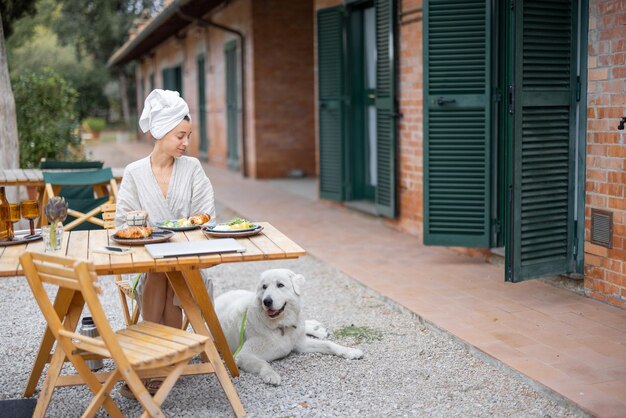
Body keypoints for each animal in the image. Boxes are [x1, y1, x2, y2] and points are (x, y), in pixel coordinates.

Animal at [214, 270, 360, 384]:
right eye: (264, 287)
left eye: (280, 285)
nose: (266, 301)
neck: (281, 326)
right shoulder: (243, 355)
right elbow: (263, 363)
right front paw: (271, 375)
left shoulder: (301, 344)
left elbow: (329, 344)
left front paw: (350, 351)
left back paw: (316, 328)